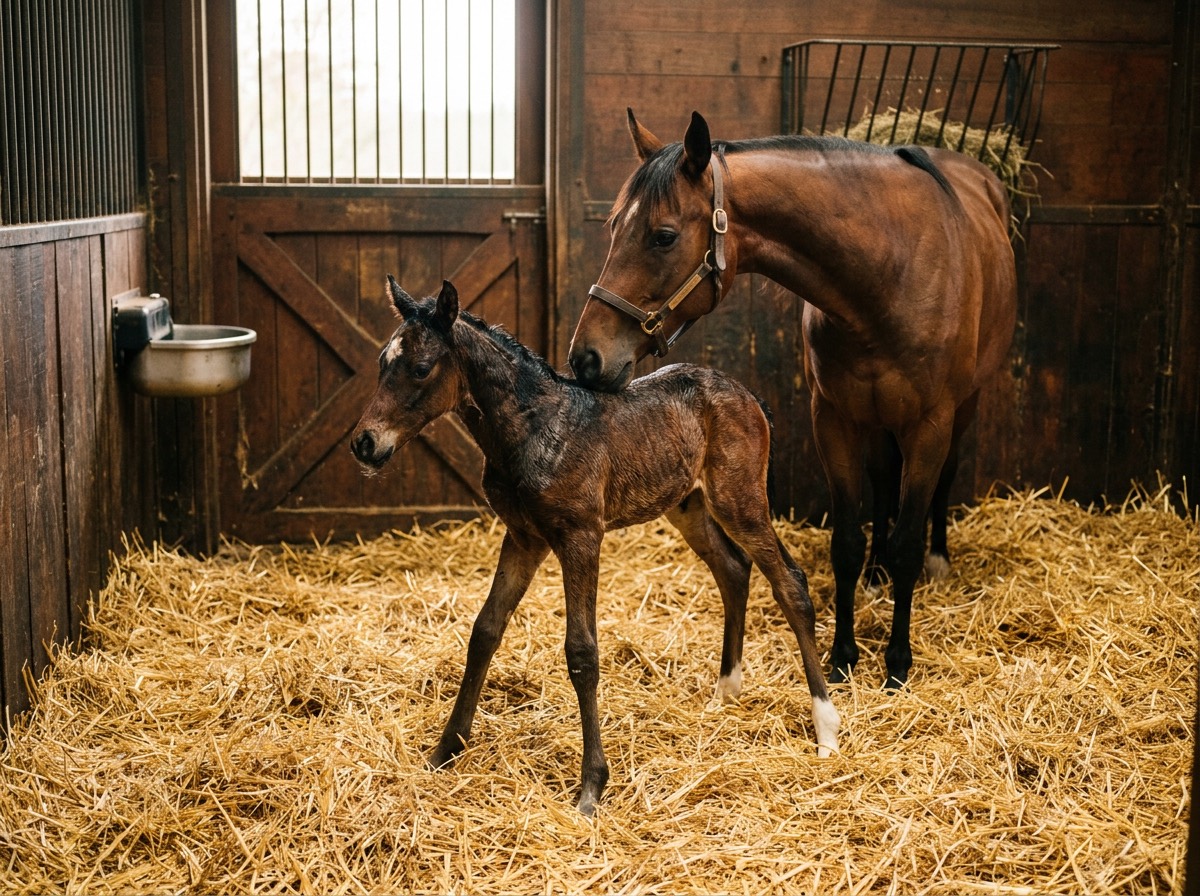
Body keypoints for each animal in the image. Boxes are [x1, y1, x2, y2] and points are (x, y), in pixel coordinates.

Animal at [350, 275, 840, 815]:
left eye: (420, 368)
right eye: (382, 363)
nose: (365, 443)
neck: (532, 427)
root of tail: (747, 392)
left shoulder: (581, 536)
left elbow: (581, 652)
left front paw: (591, 788)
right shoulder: (523, 537)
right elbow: (485, 632)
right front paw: (445, 751)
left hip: (739, 500)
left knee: (790, 583)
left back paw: (826, 729)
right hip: (686, 504)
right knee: (732, 570)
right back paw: (725, 692)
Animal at [567, 110, 1018, 690]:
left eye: (663, 237)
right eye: (613, 227)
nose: (586, 358)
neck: (888, 273)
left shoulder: (929, 426)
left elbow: (907, 543)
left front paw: (897, 662)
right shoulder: (833, 419)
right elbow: (846, 541)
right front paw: (844, 655)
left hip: (963, 409)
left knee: (944, 481)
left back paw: (937, 559)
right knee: (881, 483)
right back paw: (876, 574)